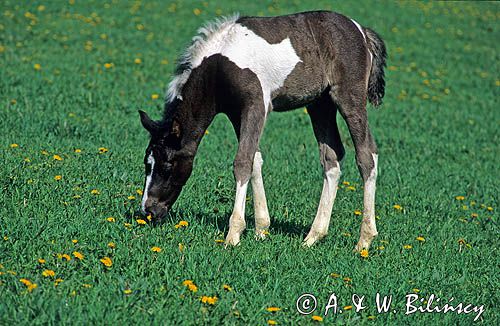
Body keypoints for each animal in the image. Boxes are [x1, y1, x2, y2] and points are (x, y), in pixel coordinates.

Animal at [139, 9, 388, 250]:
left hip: (348, 98)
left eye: (167, 166)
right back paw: (312, 237)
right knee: (331, 158)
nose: (148, 211)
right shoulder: (236, 112)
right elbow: (254, 160)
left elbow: (242, 162)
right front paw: (261, 229)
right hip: (320, 104)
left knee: (367, 156)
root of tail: (361, 31)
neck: (220, 65)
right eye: (147, 164)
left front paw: (233, 235)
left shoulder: (256, 105)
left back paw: (364, 240)